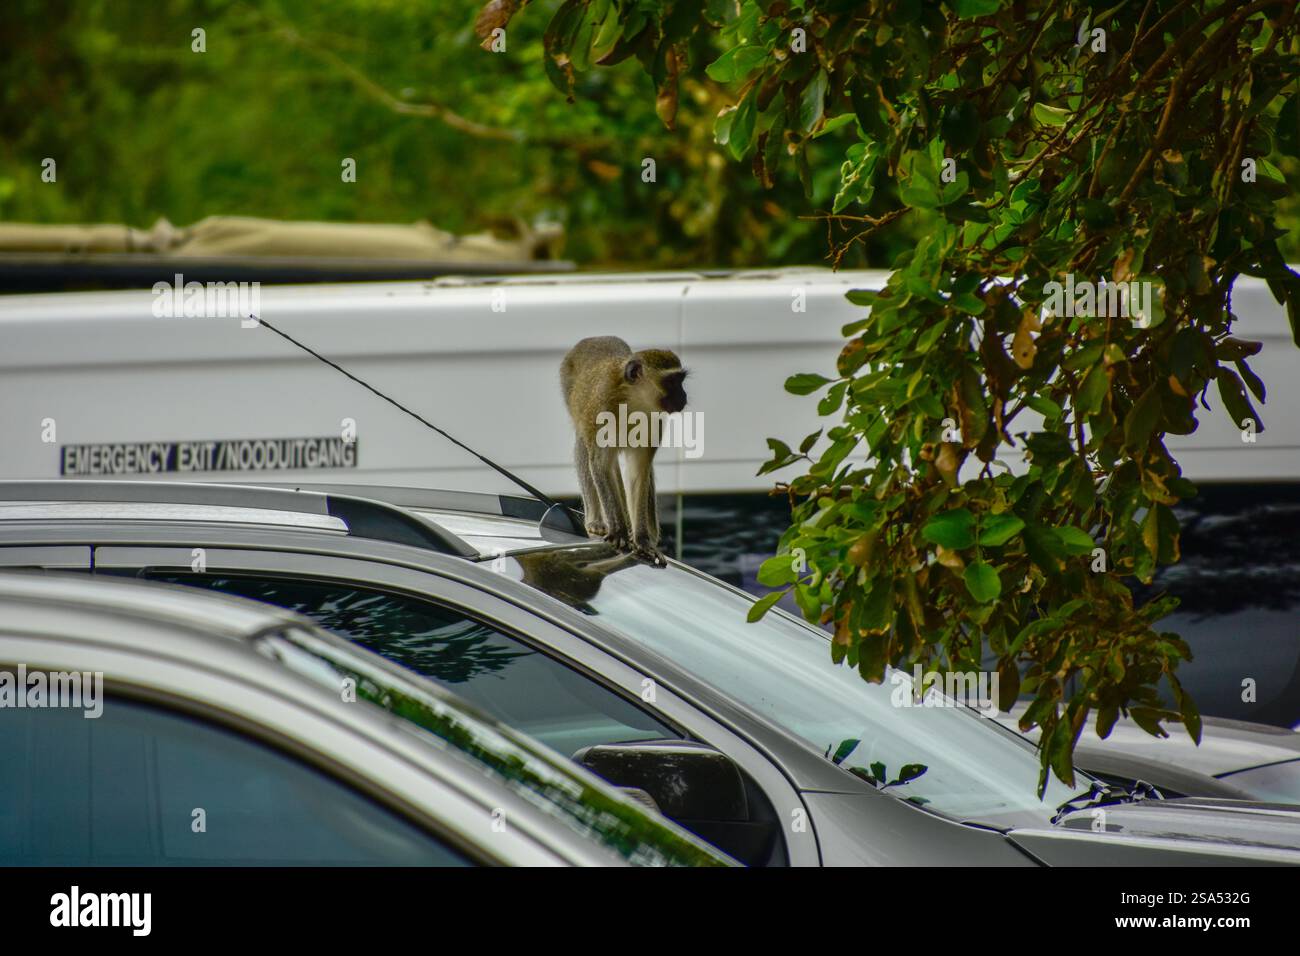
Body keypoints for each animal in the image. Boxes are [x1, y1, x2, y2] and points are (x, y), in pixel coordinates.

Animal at [560, 336, 688, 566]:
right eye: (671, 382)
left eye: (681, 380)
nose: (684, 396)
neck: (632, 401)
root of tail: (595, 338)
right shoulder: (601, 409)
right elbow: (600, 464)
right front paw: (618, 532)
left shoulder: (653, 421)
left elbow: (639, 471)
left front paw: (643, 540)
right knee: (584, 446)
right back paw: (597, 521)